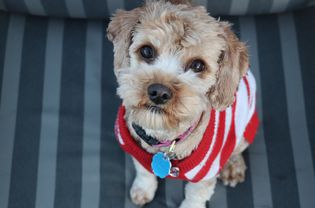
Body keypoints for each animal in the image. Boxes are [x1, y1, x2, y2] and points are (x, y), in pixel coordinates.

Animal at [107, 0, 260, 207]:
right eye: (146, 51)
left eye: (198, 65)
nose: (159, 92)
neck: (163, 140)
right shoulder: (137, 153)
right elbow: (144, 171)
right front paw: (143, 190)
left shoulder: (204, 177)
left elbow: (194, 197)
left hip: (244, 131)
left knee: (236, 149)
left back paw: (232, 166)